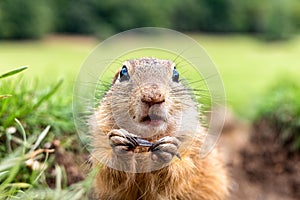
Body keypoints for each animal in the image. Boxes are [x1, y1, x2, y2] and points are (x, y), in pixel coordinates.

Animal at [89, 57, 230, 199]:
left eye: (176, 74)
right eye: (123, 72)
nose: (153, 97)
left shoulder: (192, 146)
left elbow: (181, 172)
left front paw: (166, 152)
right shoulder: (100, 138)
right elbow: (106, 175)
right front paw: (120, 143)